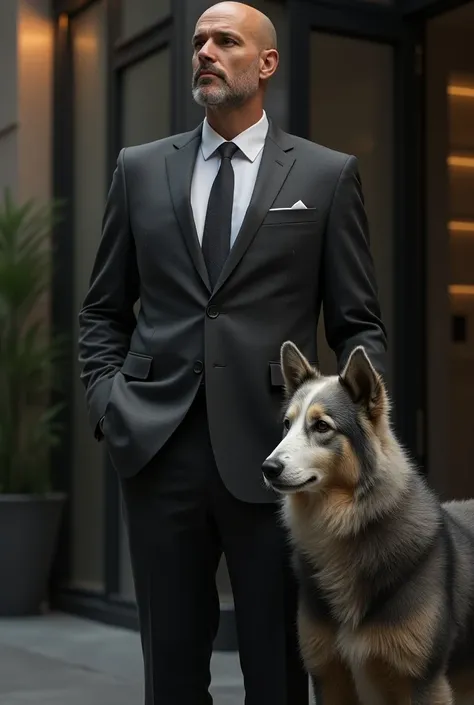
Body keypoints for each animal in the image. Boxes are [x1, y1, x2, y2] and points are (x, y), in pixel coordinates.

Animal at [262, 338, 474, 700]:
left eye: (321, 426)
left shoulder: (424, 680)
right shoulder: (329, 675)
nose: (268, 468)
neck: (347, 520)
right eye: (287, 425)